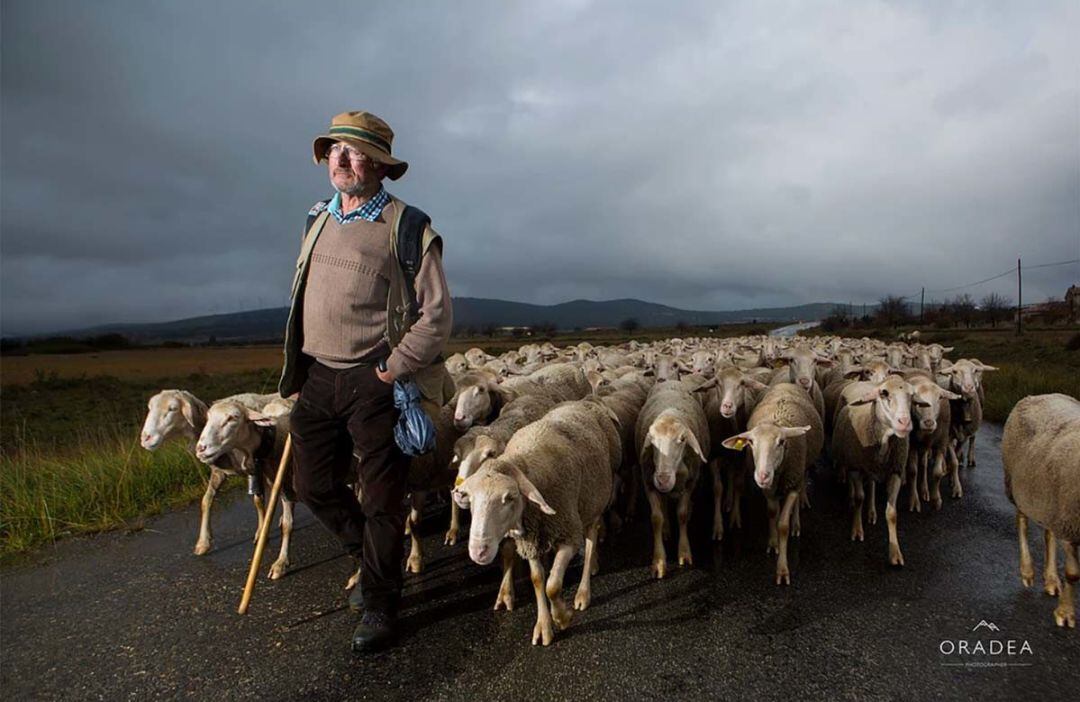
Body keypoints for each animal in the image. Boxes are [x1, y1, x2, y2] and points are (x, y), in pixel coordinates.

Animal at [194, 399, 295, 578]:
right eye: (208, 417)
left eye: (232, 418)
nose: (201, 449)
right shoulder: (238, 472)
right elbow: (207, 501)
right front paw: (203, 542)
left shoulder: (282, 480)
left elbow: (286, 524)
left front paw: (281, 563)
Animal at [635, 380, 712, 578]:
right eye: (652, 440)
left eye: (683, 439)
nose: (663, 480)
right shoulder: (648, 482)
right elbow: (656, 518)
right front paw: (659, 562)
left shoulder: (691, 482)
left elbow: (682, 514)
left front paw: (684, 553)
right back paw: (667, 529)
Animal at [721, 380, 820, 583]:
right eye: (751, 443)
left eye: (781, 442)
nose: (762, 476)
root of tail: (785, 383)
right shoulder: (768, 491)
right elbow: (772, 513)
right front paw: (773, 543)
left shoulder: (793, 482)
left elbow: (783, 525)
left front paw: (782, 569)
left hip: (800, 473)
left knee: (799, 496)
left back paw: (796, 524)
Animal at [829, 373, 915, 565]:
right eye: (884, 393)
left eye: (912, 396)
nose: (904, 423)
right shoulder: (855, 467)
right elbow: (859, 497)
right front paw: (857, 530)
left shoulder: (896, 471)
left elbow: (892, 513)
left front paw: (895, 553)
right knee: (855, 487)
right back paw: (851, 499)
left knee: (873, 486)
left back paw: (871, 512)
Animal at [997, 390, 1080, 626]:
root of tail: (1040, 394)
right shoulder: (1068, 525)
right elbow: (1073, 573)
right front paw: (1065, 613)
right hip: (1018, 488)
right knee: (1022, 524)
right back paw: (1027, 571)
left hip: (1048, 499)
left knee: (1048, 534)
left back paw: (1051, 579)